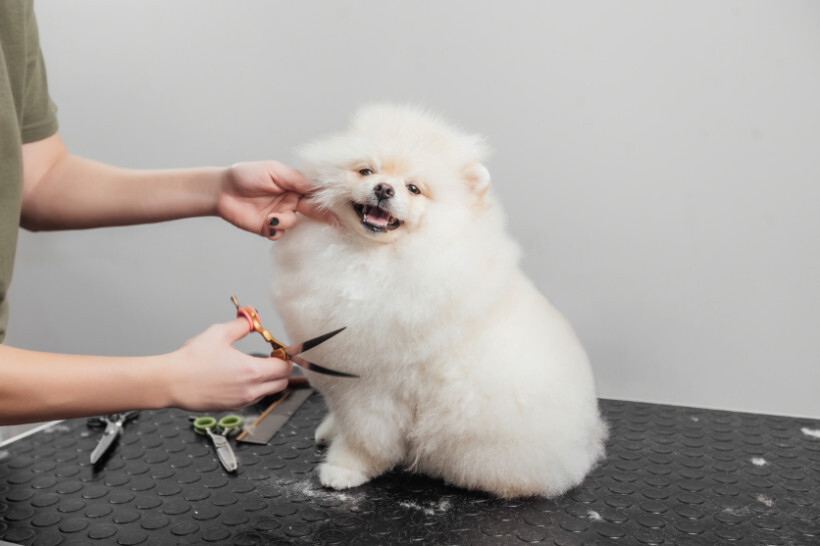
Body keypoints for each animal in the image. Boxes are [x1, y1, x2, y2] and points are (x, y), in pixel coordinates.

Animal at [272, 103, 604, 498]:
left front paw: (344, 468)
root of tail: (584, 444)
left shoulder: (376, 385)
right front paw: (330, 430)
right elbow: (343, 416)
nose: (384, 188)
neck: (370, 257)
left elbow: (366, 436)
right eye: (366, 170)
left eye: (414, 188)